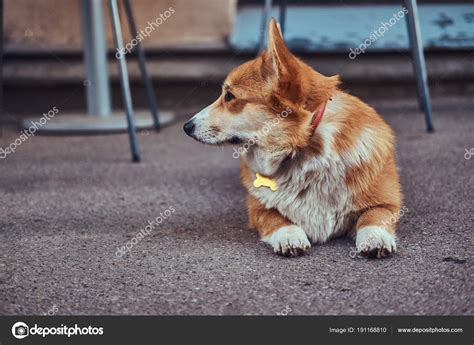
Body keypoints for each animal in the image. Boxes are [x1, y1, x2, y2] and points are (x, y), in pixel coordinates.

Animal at [183, 18, 402, 255]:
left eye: (230, 96)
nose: (186, 127)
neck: (303, 149)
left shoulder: (388, 202)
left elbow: (373, 217)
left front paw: (375, 239)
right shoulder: (258, 208)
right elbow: (277, 219)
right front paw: (289, 237)